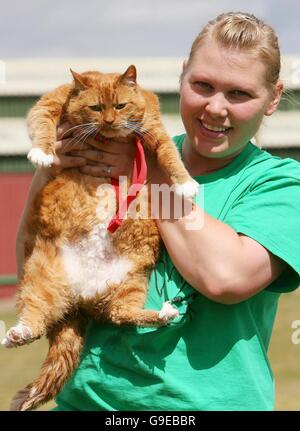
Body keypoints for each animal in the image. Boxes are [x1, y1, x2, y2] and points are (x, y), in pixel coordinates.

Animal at [2, 64, 199, 412]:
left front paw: (185, 183)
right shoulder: (49, 104)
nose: (108, 122)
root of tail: (80, 299)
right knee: (35, 318)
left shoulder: (154, 130)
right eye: (95, 108)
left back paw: (164, 314)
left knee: (123, 314)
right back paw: (18, 334)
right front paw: (42, 153)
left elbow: (170, 157)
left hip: (130, 281)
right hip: (40, 280)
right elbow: (43, 124)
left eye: (120, 106)